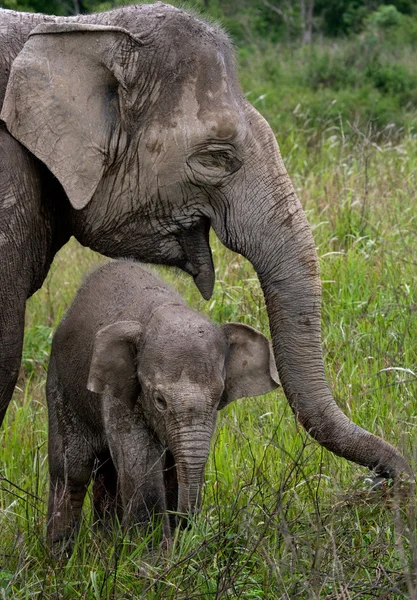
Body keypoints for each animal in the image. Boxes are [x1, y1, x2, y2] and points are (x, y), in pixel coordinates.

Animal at [46, 262, 280, 552]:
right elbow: (142, 467)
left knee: (108, 473)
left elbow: (170, 469)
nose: (184, 521)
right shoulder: (120, 393)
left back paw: (106, 547)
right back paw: (60, 557)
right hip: (60, 386)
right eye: (159, 401)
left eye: (218, 399)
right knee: (72, 471)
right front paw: (153, 559)